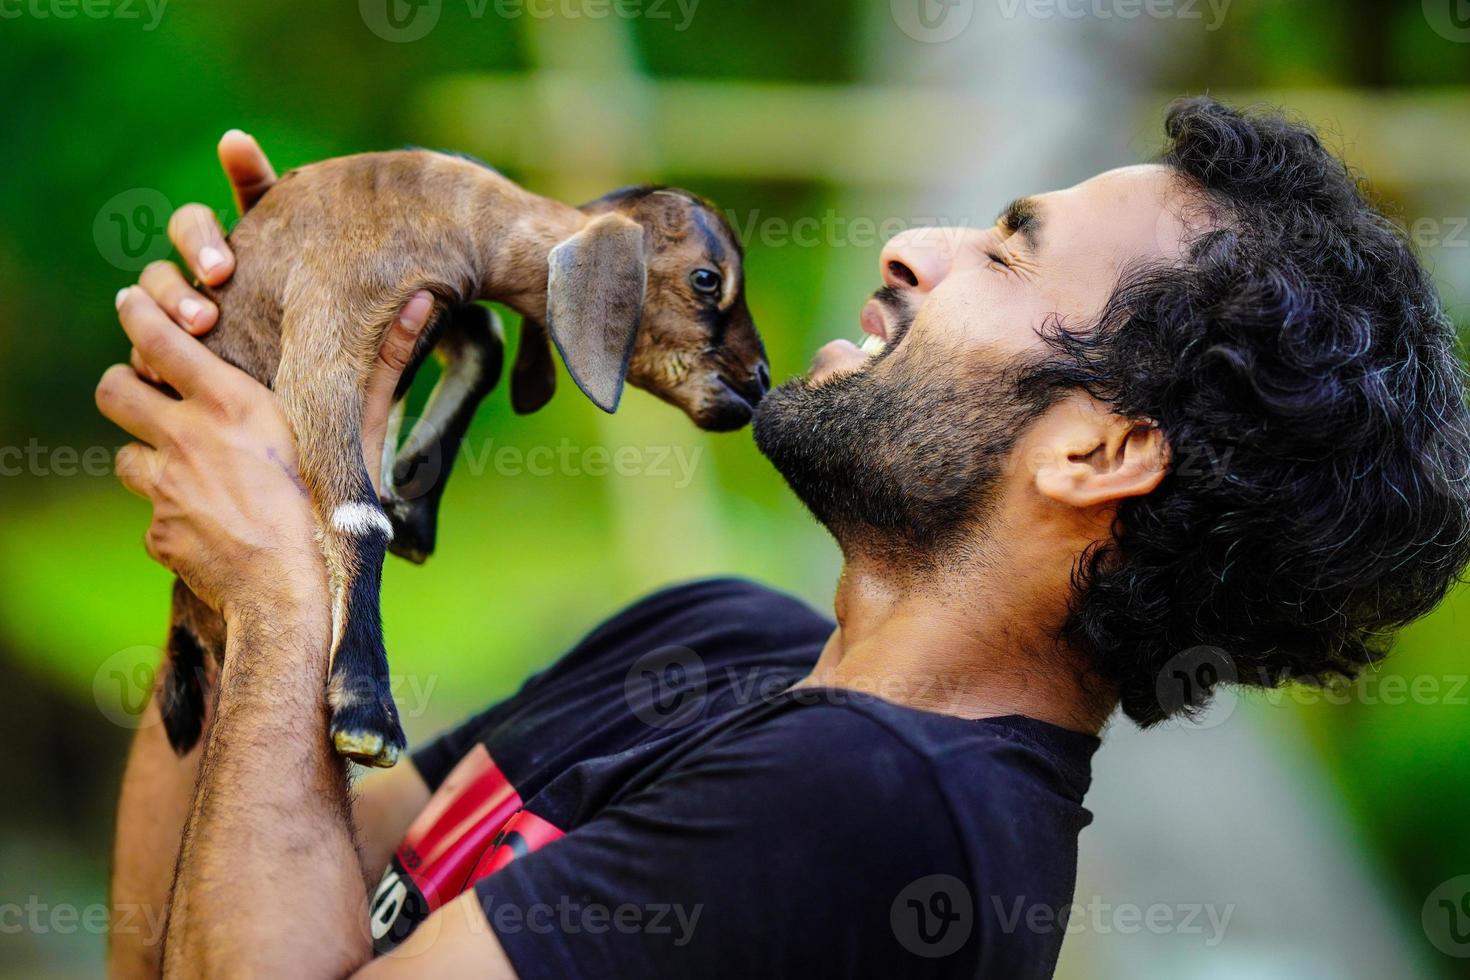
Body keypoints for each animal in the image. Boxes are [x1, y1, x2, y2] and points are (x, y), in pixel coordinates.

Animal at [160, 151, 770, 764]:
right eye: (706, 278)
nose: (759, 380)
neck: (448, 212)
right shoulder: (333, 316)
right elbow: (358, 516)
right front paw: (367, 714)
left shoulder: (444, 305)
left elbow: (487, 343)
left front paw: (413, 499)